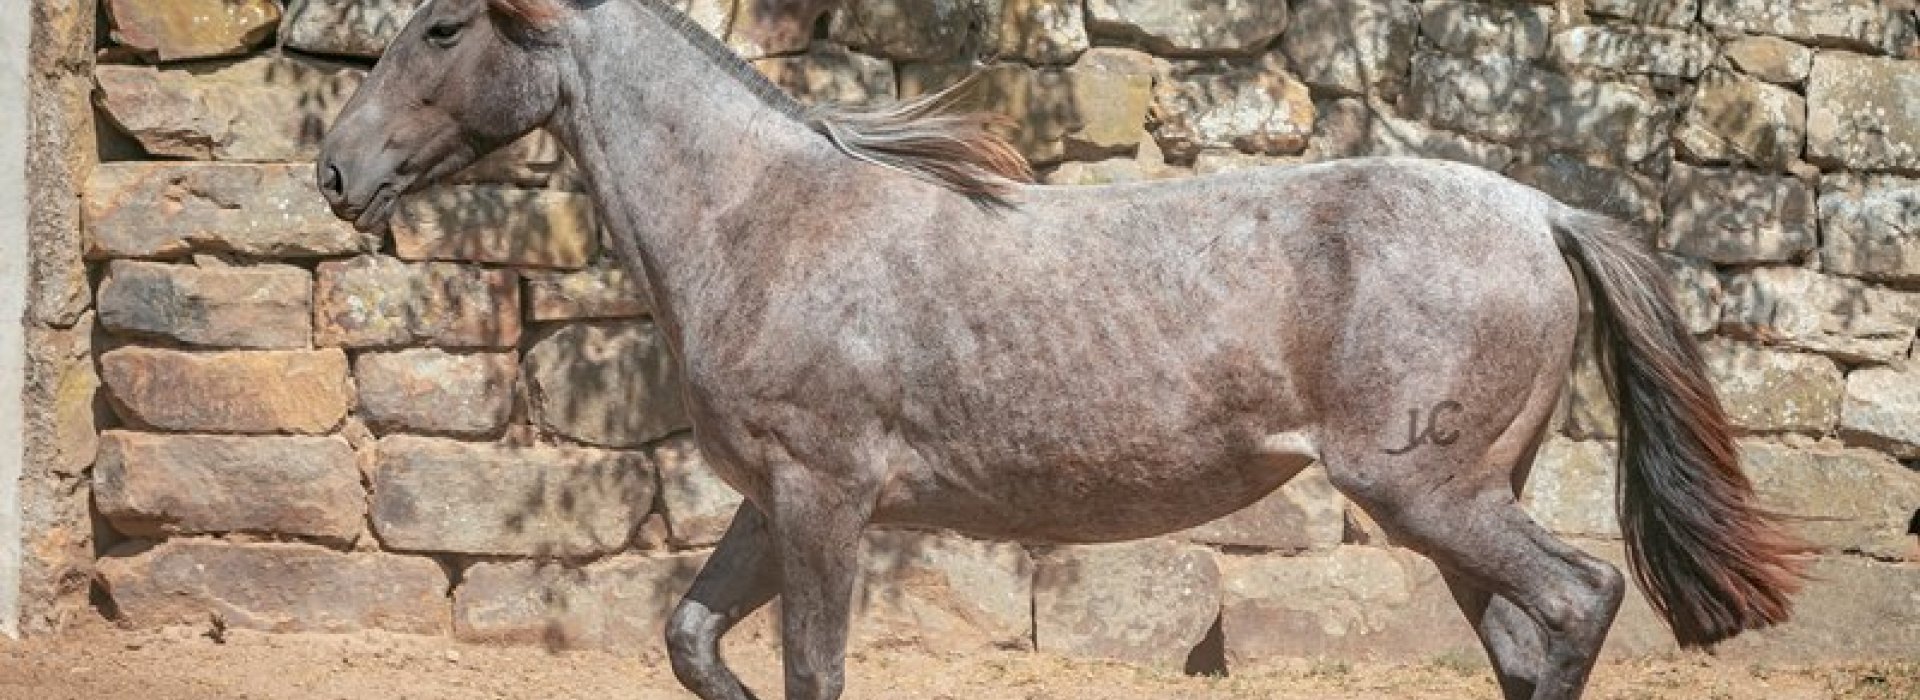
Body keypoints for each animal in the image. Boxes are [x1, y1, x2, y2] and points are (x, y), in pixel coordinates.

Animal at [314, 1, 1810, 698]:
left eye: (440, 27)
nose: (334, 172)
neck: (765, 218)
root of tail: (1546, 210)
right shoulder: (771, 499)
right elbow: (690, 638)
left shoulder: (826, 498)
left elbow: (813, 670)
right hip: (1450, 507)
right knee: (1520, 641)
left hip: (1429, 491)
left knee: (1577, 600)